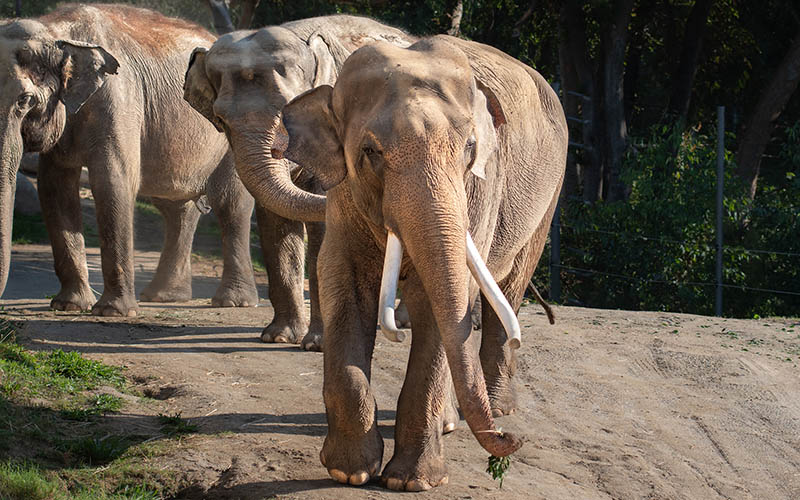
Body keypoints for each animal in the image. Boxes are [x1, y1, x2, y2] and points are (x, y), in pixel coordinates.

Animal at [0, 4, 310, 328]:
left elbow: (113, 182)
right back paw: (164, 297)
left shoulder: (118, 99)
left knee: (230, 204)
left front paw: (112, 312)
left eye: (25, 100)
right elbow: (53, 189)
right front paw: (68, 306)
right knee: (176, 208)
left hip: (233, 138)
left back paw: (233, 302)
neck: (56, 30)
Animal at [184, 16, 416, 352]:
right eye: (221, 120)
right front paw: (278, 336)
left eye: (286, 113)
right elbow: (275, 222)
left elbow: (323, 229)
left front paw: (317, 344)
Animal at [278, 37, 564, 490]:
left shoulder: (478, 193)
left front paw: (412, 482)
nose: (510, 440)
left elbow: (441, 306)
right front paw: (350, 472)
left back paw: (495, 408)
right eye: (369, 152)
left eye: (469, 148)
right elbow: (343, 285)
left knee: (511, 287)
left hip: (546, 201)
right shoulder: (342, 193)